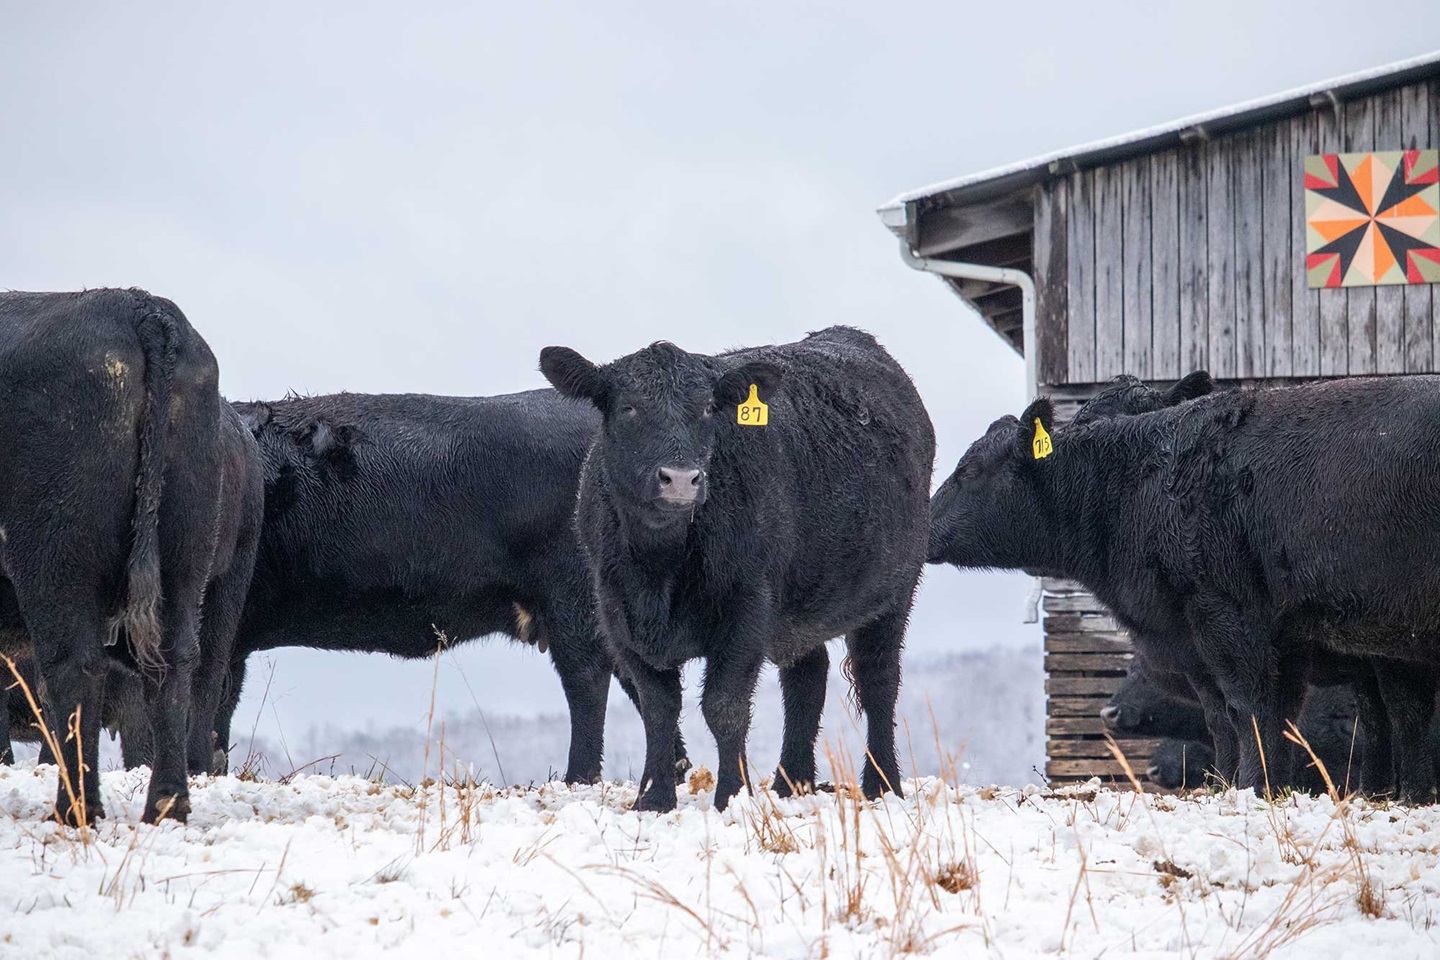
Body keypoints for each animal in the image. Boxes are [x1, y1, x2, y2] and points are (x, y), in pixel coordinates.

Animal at [0, 289, 262, 823]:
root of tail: (139, 307)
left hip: (54, 565)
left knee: (75, 670)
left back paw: (76, 808)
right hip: (186, 565)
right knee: (180, 665)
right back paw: (168, 803)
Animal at [541, 328, 933, 811]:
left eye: (709, 407)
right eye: (628, 407)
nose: (681, 478)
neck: (660, 568)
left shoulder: (746, 611)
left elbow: (723, 706)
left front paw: (731, 795)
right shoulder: (618, 614)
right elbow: (658, 710)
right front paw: (654, 798)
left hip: (894, 591)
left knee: (878, 678)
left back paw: (881, 785)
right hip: (799, 607)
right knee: (808, 678)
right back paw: (791, 783)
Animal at [927, 374, 1440, 805]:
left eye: (970, 470)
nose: (924, 529)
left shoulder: (1222, 617)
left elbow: (1248, 708)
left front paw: (1252, 789)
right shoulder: (1278, 638)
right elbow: (1265, 714)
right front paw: (1252, 785)